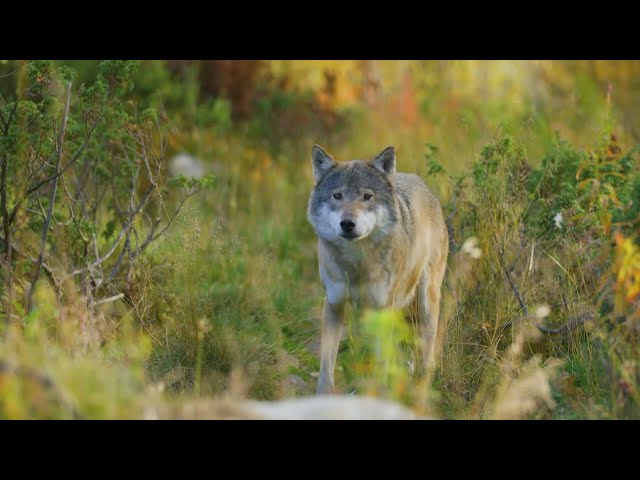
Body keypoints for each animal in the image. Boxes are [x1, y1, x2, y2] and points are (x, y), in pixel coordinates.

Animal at [306, 144, 448, 396]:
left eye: (367, 196)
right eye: (337, 195)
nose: (347, 223)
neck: (356, 264)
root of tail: (420, 182)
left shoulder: (383, 309)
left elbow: (381, 364)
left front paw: (378, 393)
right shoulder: (333, 305)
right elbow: (326, 365)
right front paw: (323, 396)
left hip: (425, 303)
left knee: (426, 356)